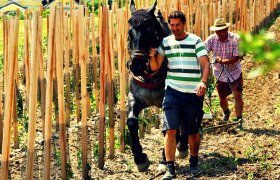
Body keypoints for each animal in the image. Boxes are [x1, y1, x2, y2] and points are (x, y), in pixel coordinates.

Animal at [126, 0, 171, 172]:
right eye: (129, 32)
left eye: (149, 30)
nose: (136, 66)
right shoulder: (134, 98)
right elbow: (131, 122)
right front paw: (140, 159)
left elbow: (168, 126)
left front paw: (165, 159)